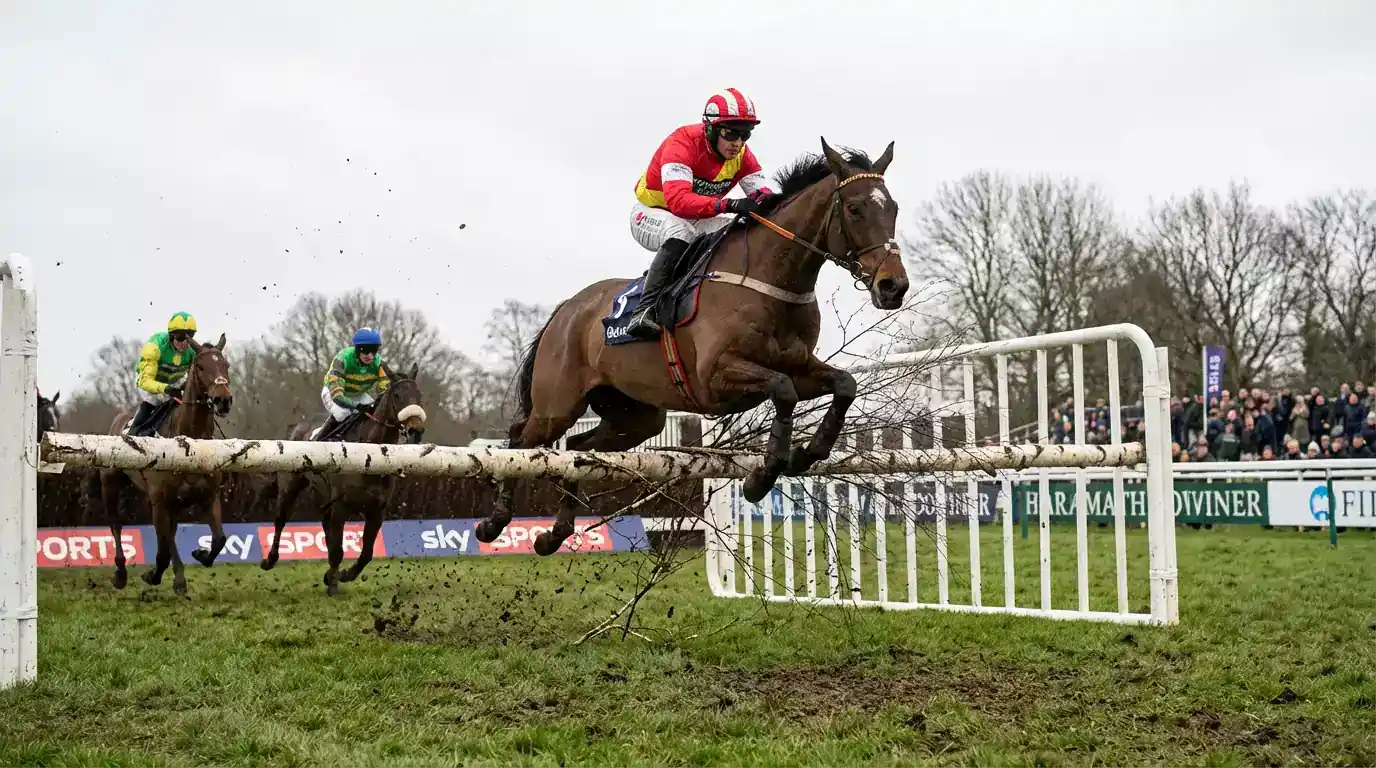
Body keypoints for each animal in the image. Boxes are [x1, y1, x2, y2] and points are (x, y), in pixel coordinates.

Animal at [98, 335, 233, 595]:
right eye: (200, 367)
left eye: (226, 365)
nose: (223, 400)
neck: (189, 445)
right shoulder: (160, 501)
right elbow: (162, 549)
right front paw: (159, 576)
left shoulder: (208, 497)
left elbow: (219, 539)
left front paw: (200, 554)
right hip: (111, 484)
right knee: (116, 525)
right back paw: (120, 572)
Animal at [257, 362, 426, 596]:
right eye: (397, 395)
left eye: (418, 395)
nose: (416, 431)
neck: (368, 456)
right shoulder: (341, 506)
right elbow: (337, 548)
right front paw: (333, 585)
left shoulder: (376, 510)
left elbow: (366, 552)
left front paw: (342, 575)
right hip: (290, 486)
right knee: (281, 520)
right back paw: (270, 559)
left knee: (325, 524)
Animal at [474, 138, 910, 556]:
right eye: (854, 208)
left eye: (894, 208)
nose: (893, 286)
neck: (769, 280)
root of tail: (567, 309)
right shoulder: (715, 378)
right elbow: (782, 390)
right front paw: (762, 477)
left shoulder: (799, 365)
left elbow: (844, 384)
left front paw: (808, 452)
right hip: (558, 404)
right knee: (520, 439)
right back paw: (494, 523)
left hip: (636, 417)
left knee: (580, 449)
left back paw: (556, 532)